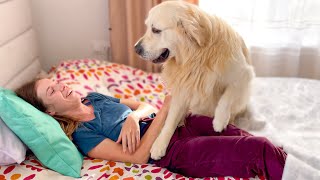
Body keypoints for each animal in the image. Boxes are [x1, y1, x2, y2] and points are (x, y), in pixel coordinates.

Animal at [134, 0, 255, 160]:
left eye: (155, 30)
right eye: (148, 27)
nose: (136, 48)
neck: (196, 55)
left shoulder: (244, 74)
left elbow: (227, 96)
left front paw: (219, 120)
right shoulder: (183, 89)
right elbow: (170, 120)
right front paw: (159, 144)